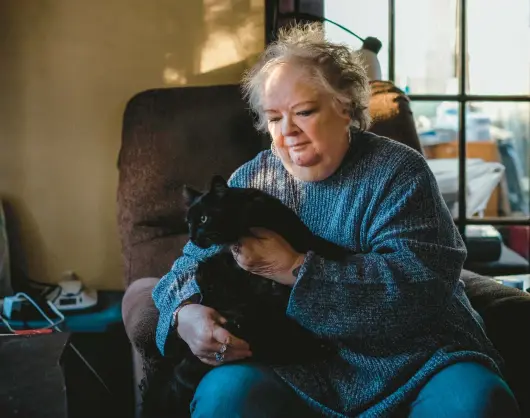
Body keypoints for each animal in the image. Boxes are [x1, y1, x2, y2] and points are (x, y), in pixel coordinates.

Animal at [140, 176, 346, 418]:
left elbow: (315, 242)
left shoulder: (293, 230)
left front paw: (339, 254)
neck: (249, 218)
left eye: (203, 218)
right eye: (188, 222)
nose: (192, 237)